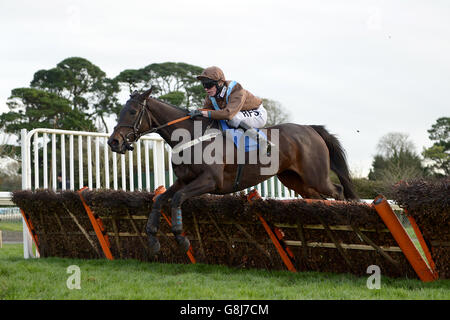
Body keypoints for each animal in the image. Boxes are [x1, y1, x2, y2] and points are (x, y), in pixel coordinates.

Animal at [107, 87, 356, 255]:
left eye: (132, 112)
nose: (113, 142)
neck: (191, 136)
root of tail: (310, 129)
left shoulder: (210, 181)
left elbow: (177, 198)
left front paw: (181, 237)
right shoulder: (184, 180)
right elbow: (160, 199)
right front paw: (152, 239)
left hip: (316, 176)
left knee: (338, 191)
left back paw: (346, 229)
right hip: (295, 180)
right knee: (318, 199)